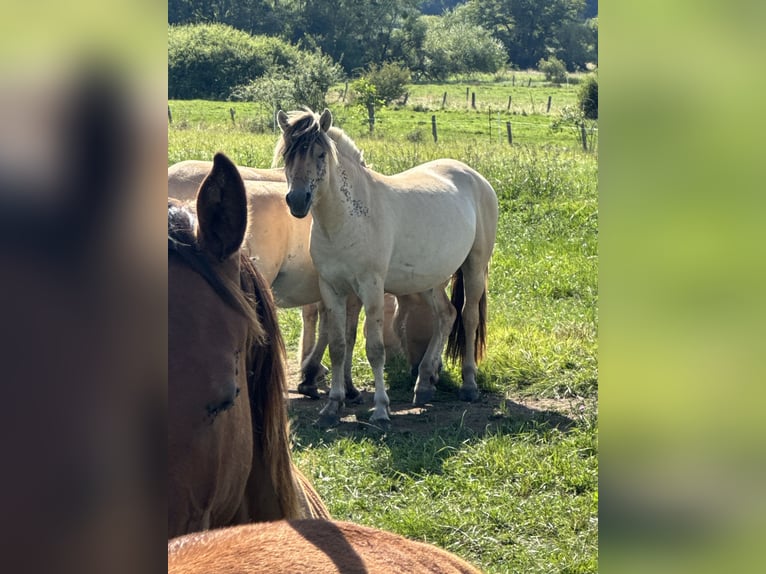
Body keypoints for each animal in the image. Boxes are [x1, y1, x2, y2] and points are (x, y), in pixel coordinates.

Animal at [274, 109, 498, 432]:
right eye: (287, 155)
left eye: (320, 154)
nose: (297, 200)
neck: (347, 219)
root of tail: (475, 177)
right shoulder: (332, 290)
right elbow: (338, 345)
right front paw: (332, 406)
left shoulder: (371, 288)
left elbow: (375, 349)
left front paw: (380, 409)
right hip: (430, 280)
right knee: (446, 315)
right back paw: (424, 383)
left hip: (475, 268)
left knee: (468, 318)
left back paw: (469, 385)